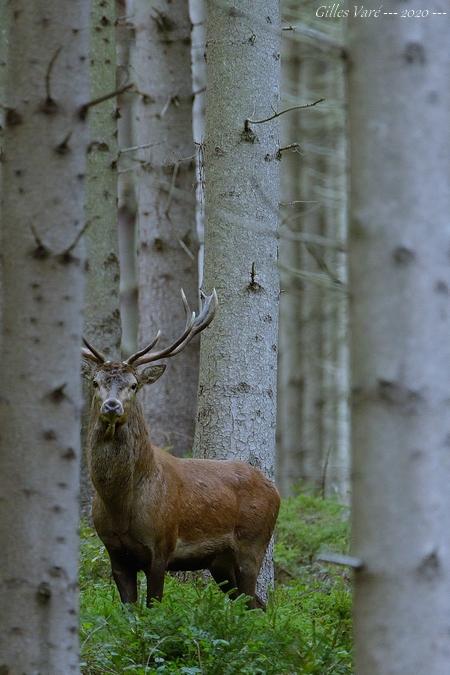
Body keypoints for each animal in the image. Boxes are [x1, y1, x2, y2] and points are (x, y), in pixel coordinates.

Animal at [82, 289, 280, 609]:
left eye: (134, 384)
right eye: (96, 382)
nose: (112, 406)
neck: (121, 505)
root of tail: (275, 489)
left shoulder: (161, 545)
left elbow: (154, 606)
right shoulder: (115, 553)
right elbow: (128, 611)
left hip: (253, 543)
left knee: (254, 601)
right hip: (220, 564)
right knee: (254, 604)